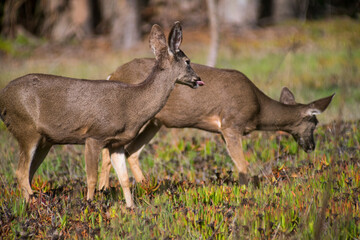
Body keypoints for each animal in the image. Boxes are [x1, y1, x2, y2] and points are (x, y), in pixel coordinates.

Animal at [0, 22, 202, 208]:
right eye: (188, 61)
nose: (198, 80)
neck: (132, 105)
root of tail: (3, 97)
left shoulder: (116, 143)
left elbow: (124, 179)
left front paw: (131, 208)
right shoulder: (94, 135)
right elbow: (91, 178)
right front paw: (89, 204)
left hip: (45, 140)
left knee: (28, 173)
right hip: (25, 129)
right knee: (20, 173)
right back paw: (33, 205)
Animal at [98, 58, 334, 189]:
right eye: (315, 123)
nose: (311, 146)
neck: (259, 110)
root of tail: (111, 74)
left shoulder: (222, 131)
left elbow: (238, 165)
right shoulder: (232, 124)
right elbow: (243, 166)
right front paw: (248, 195)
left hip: (155, 122)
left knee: (131, 152)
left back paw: (147, 188)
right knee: (109, 151)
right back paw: (103, 192)